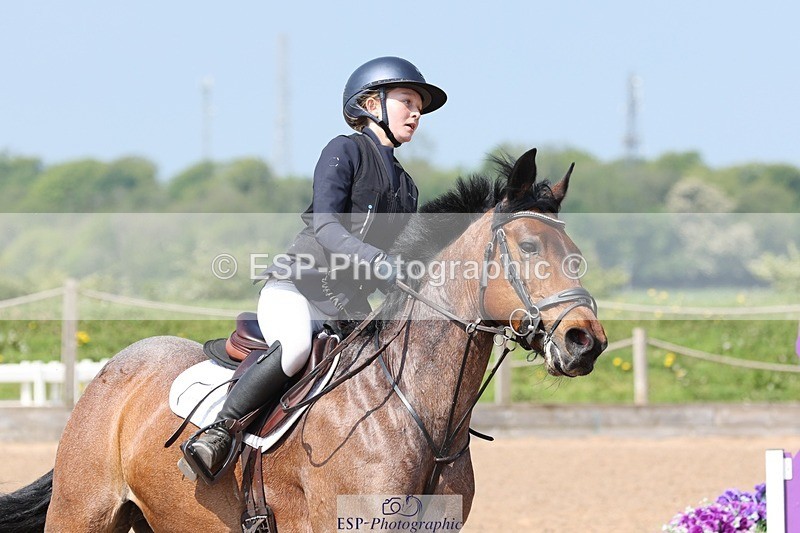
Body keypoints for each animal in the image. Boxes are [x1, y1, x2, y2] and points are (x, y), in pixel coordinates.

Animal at [0, 147, 606, 532]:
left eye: (574, 250)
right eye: (528, 246)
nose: (586, 342)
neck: (417, 415)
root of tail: (113, 369)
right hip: (82, 513)